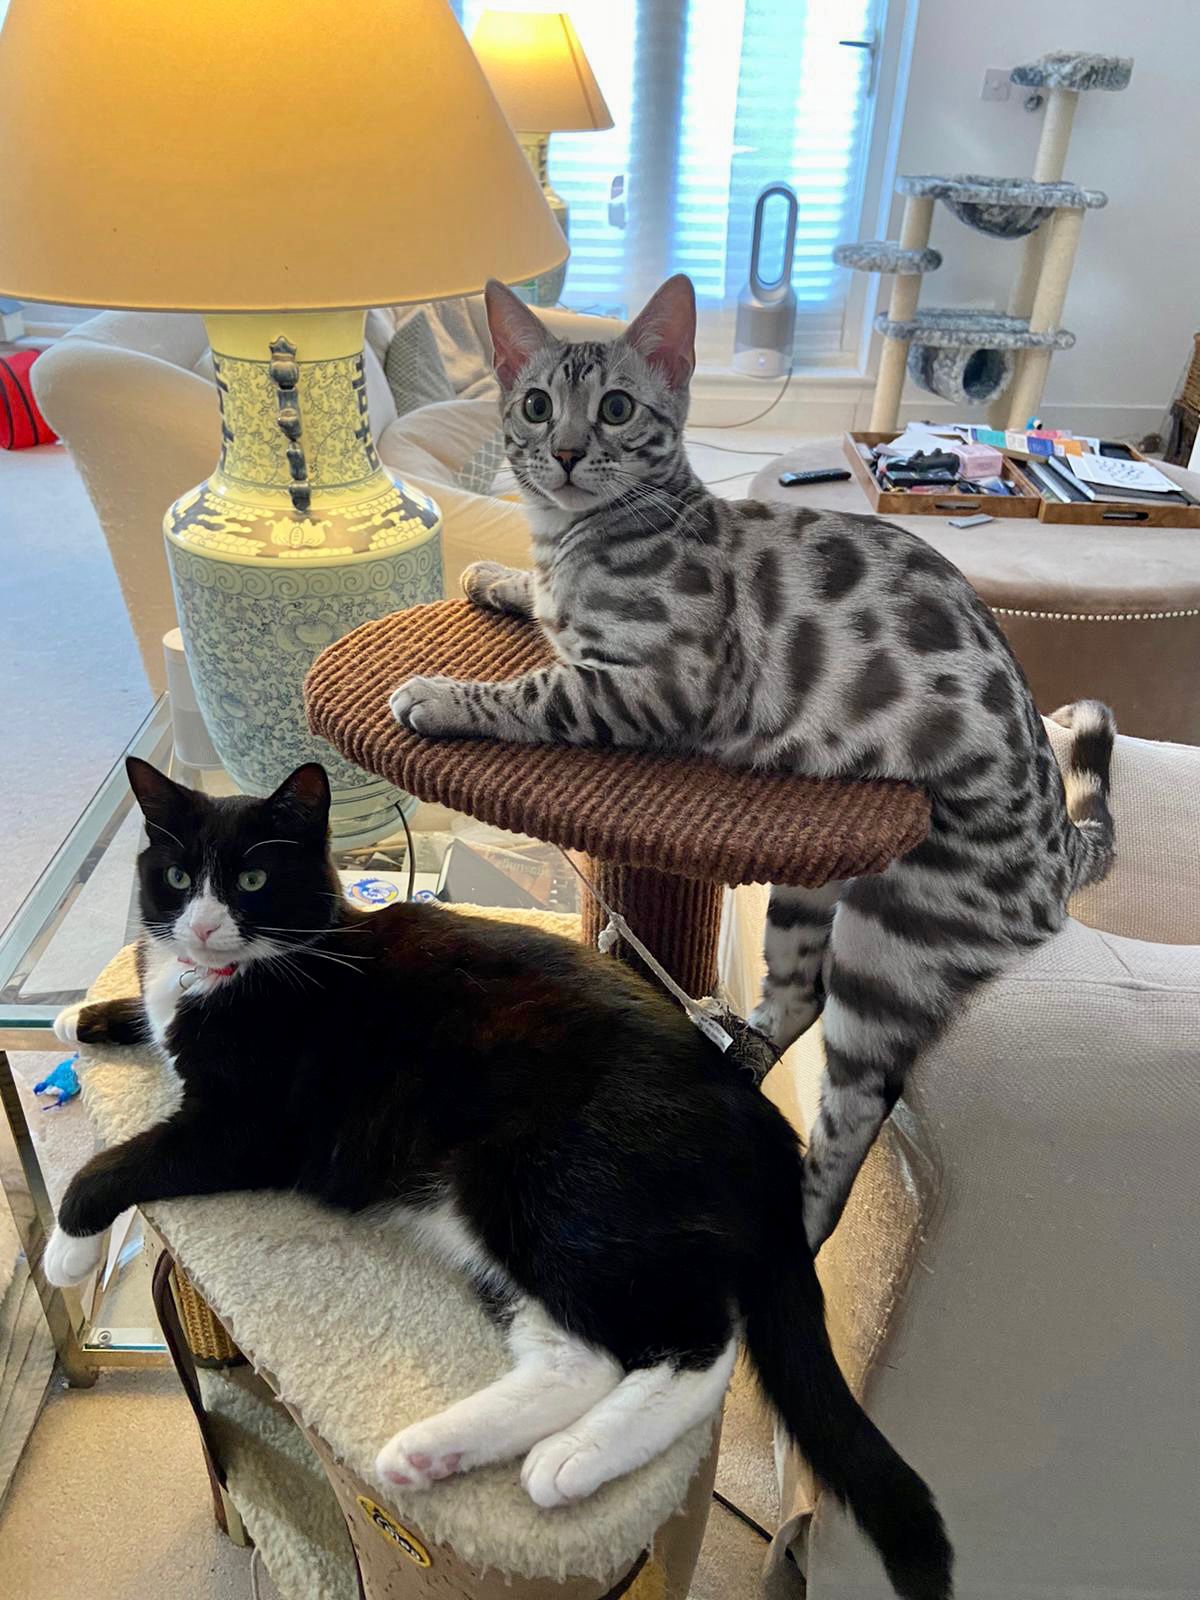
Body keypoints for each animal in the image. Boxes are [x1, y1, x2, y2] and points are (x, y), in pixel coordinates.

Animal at [46, 758, 952, 1600]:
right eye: (176, 877)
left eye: (252, 881)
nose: (201, 928)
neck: (252, 974)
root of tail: (759, 1123)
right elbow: (146, 1011)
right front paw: (80, 1014)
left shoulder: (249, 1129)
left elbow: (111, 1164)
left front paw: (65, 1250)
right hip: (495, 1223)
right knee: (580, 1355)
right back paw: (432, 1453)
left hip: (541, 1184)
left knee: (699, 1341)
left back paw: (574, 1457)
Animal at [389, 272, 1117, 1254]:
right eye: (536, 405)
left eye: (616, 408)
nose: (569, 454)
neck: (575, 539)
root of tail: (1059, 847)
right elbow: (536, 609)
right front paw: (494, 580)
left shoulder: (663, 685)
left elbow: (538, 689)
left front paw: (435, 694)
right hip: (808, 893)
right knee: (794, 1000)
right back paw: (712, 1040)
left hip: (889, 952)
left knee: (856, 1107)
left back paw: (796, 1218)